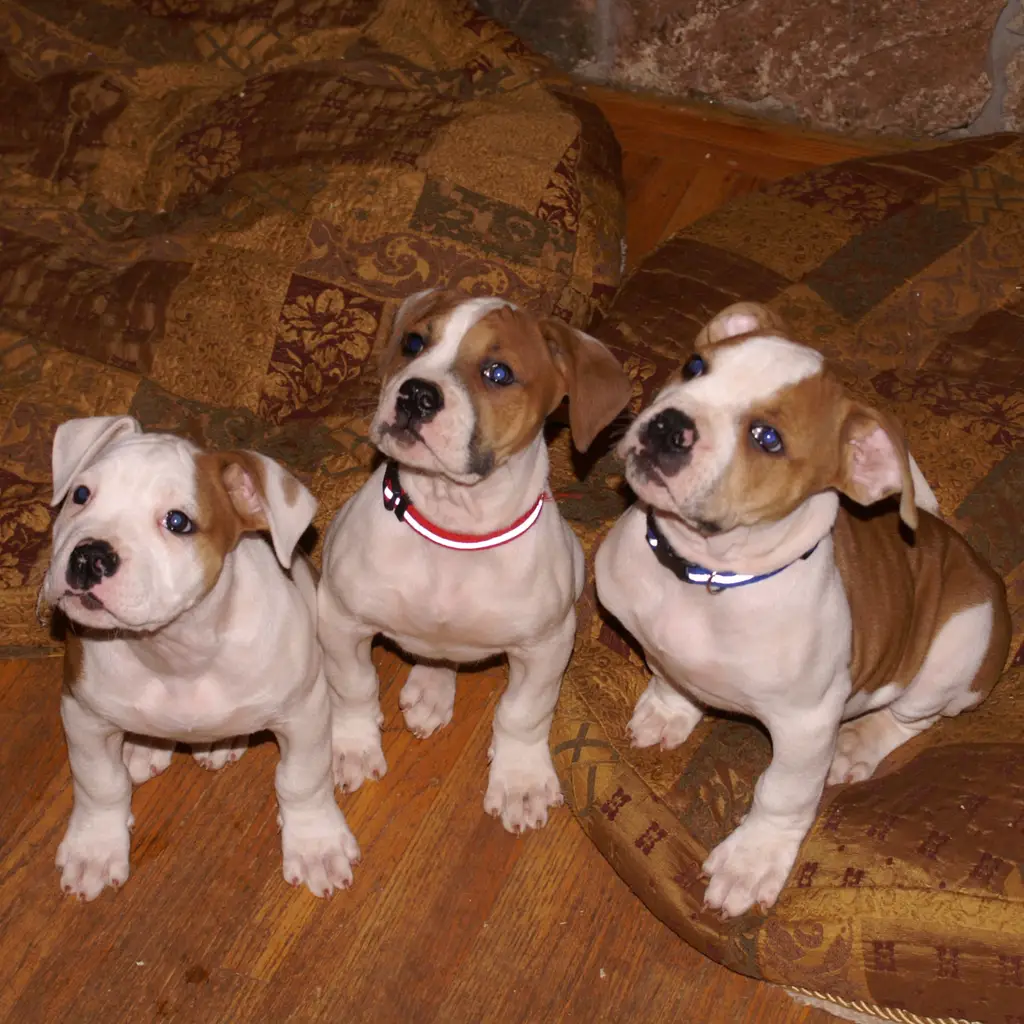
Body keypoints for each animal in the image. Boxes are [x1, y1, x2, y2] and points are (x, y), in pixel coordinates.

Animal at [43, 413, 360, 897]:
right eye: (81, 494)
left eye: (178, 521)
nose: (89, 556)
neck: (176, 650)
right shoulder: (83, 715)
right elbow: (99, 783)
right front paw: (94, 847)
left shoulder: (305, 714)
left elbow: (302, 780)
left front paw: (316, 844)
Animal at [317, 288, 630, 831]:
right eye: (413, 342)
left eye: (498, 373)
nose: (415, 394)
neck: (452, 531)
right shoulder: (339, 618)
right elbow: (352, 685)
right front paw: (352, 746)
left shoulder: (546, 646)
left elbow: (524, 712)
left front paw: (520, 780)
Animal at [598, 303, 1011, 921]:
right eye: (695, 366)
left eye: (767, 438)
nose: (670, 425)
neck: (705, 573)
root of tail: (966, 554)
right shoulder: (659, 642)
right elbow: (668, 671)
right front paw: (670, 711)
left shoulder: (806, 723)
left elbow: (782, 793)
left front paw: (752, 861)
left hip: (955, 652)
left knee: (913, 716)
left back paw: (858, 745)